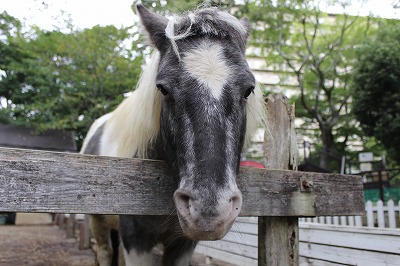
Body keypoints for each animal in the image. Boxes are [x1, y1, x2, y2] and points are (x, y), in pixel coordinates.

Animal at [79, 4, 264, 266]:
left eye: (248, 89)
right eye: (163, 88)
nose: (210, 210)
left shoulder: (183, 244)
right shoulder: (136, 240)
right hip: (98, 223)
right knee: (104, 253)